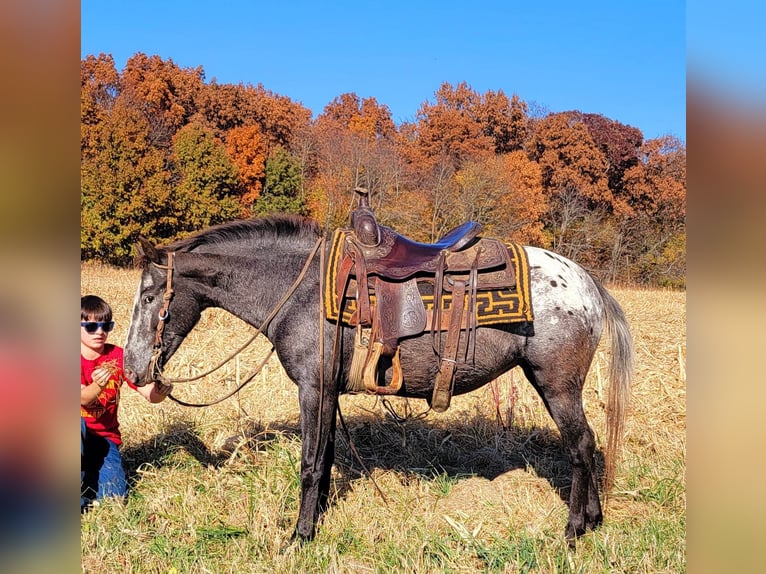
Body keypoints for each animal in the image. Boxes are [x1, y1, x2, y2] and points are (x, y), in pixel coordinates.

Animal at [123, 214, 632, 548]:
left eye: (148, 296)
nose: (132, 370)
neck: (301, 290)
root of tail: (587, 283)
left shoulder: (314, 389)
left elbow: (310, 464)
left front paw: (299, 536)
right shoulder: (327, 392)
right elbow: (325, 459)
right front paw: (316, 520)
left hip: (557, 384)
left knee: (581, 445)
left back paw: (574, 530)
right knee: (586, 445)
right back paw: (593, 519)